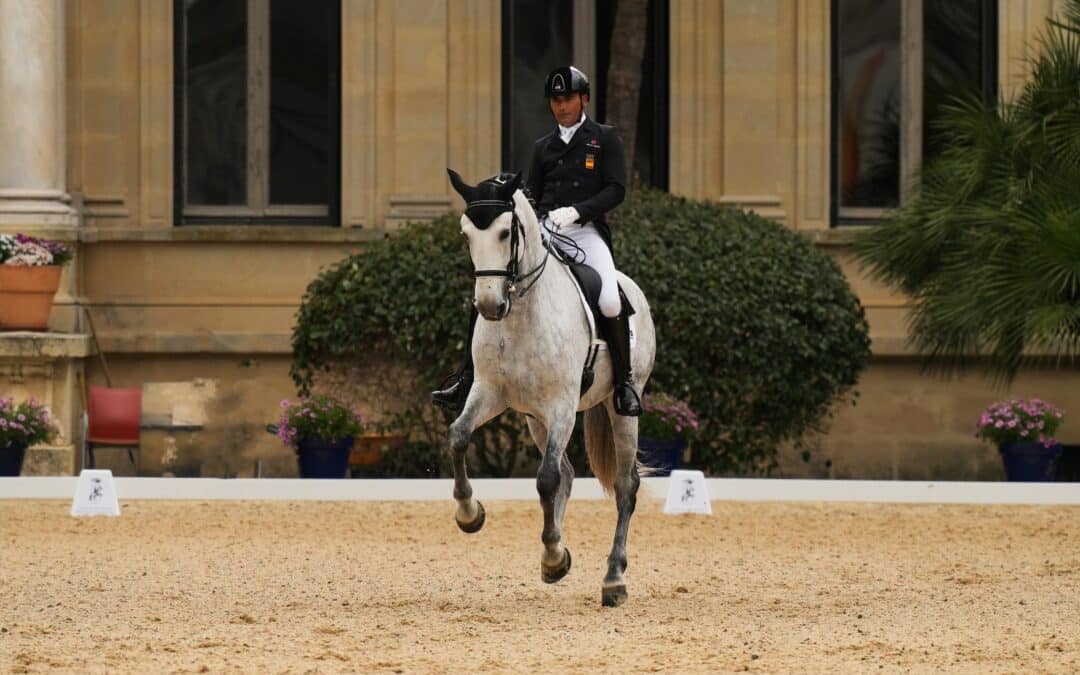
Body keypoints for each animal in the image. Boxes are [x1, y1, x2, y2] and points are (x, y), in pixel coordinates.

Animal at [442, 167, 652, 604]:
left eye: (506, 232)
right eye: (465, 234)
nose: (489, 307)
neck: (520, 314)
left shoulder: (561, 406)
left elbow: (545, 479)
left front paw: (555, 555)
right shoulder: (490, 393)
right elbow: (458, 437)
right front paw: (470, 514)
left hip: (620, 410)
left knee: (625, 486)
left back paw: (613, 579)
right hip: (533, 417)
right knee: (568, 473)